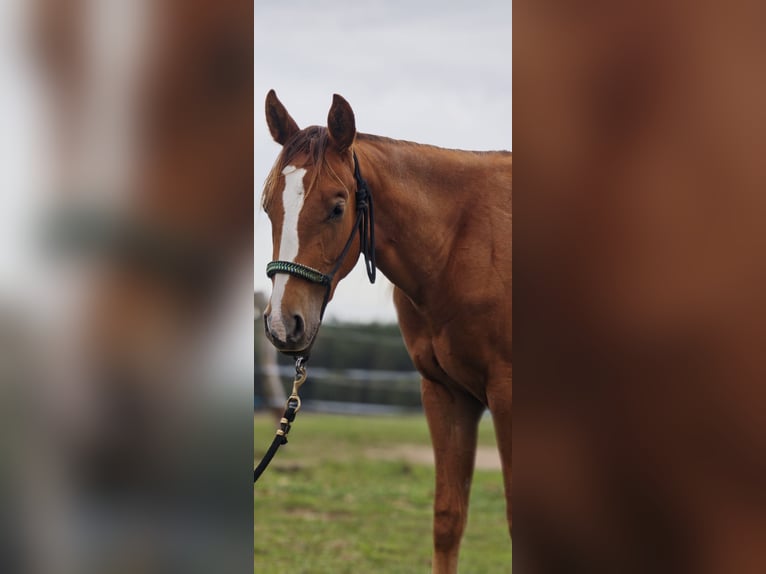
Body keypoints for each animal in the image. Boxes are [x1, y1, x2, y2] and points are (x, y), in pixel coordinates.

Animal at [260, 90, 512, 573]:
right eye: (268, 206)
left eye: (338, 207)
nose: (284, 324)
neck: (462, 244)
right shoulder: (445, 393)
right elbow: (448, 518)